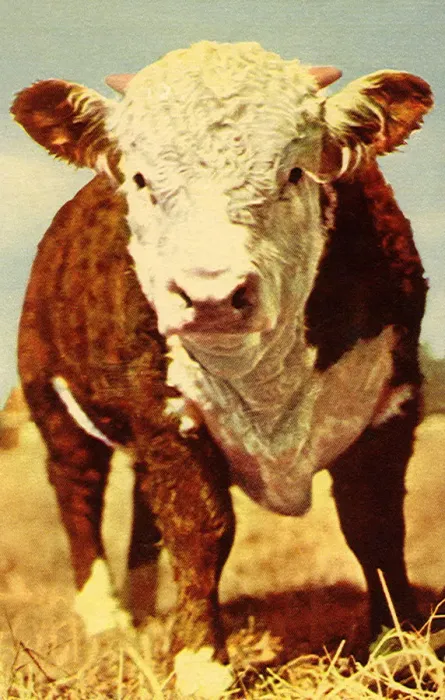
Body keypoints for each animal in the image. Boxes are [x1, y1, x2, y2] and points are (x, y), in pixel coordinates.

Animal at [12, 41, 432, 672]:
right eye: (141, 179)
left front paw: (398, 647)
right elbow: (200, 528)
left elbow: (375, 525)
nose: (210, 294)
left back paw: (146, 611)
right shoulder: (163, 411)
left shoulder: (391, 401)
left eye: (294, 172)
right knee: (77, 491)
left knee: (143, 508)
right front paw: (199, 664)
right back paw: (107, 619)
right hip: (50, 401)